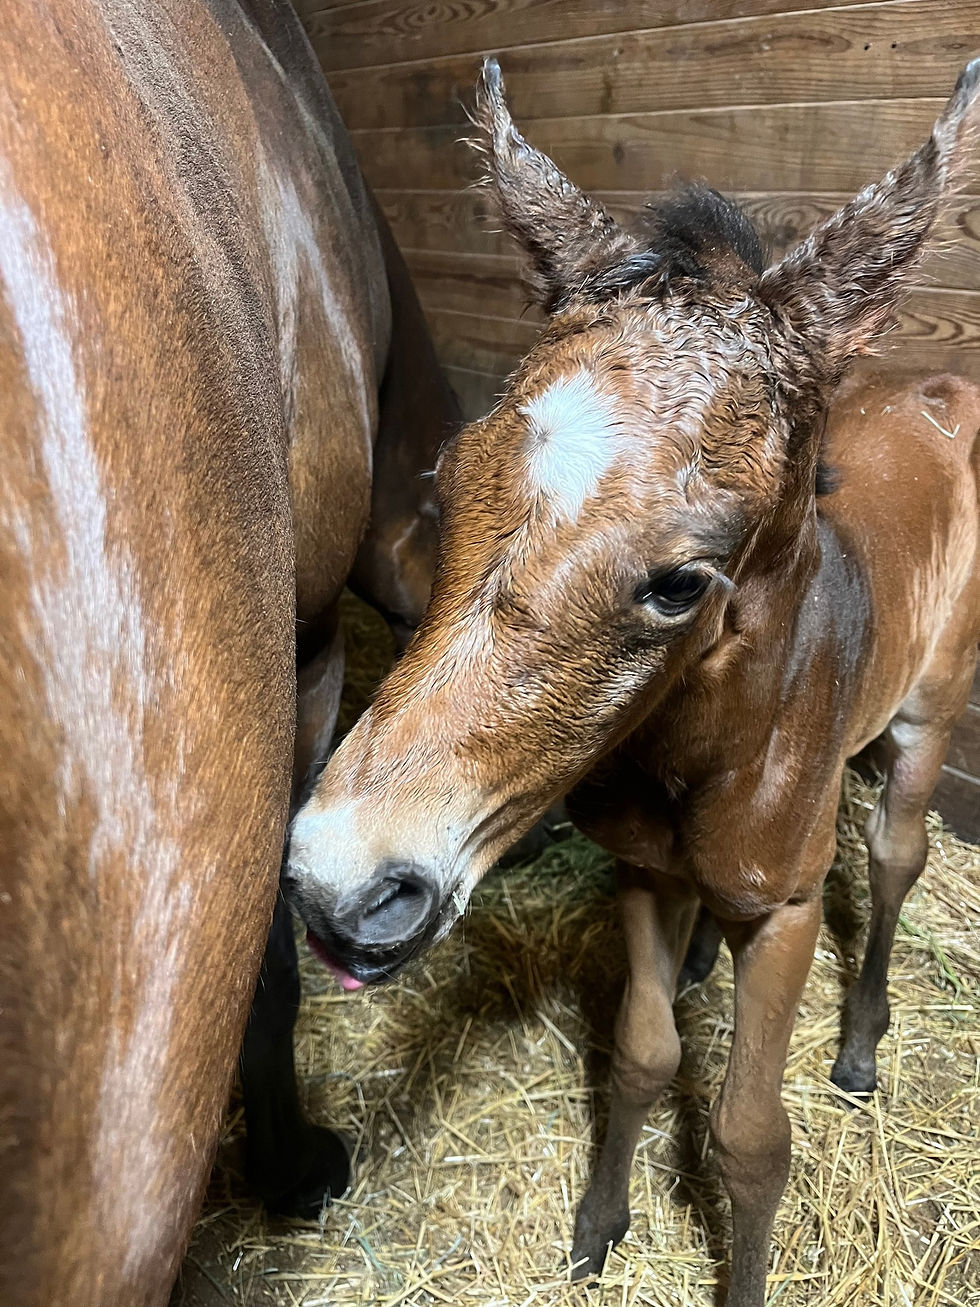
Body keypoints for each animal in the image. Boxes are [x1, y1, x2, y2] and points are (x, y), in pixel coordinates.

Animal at [285, 59, 980, 1306]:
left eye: (679, 581)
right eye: (443, 481)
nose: (338, 883)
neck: (702, 754)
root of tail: (936, 390)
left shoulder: (786, 909)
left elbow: (752, 1138)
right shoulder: (640, 873)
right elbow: (642, 1056)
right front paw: (596, 1226)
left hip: (927, 714)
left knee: (897, 851)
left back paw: (859, 1041)